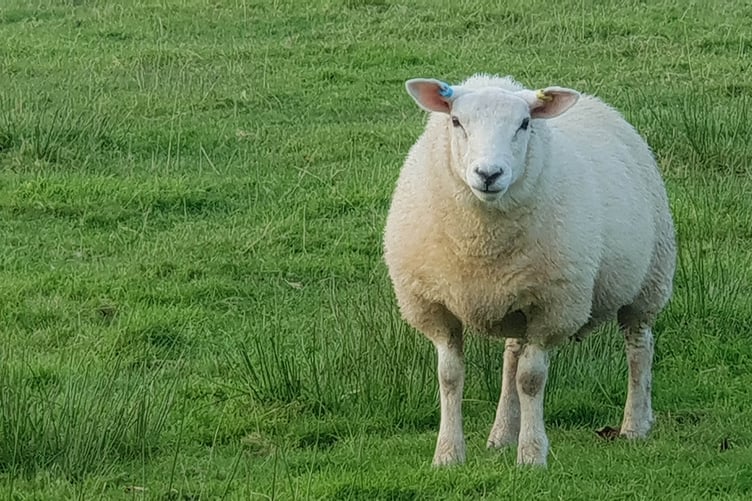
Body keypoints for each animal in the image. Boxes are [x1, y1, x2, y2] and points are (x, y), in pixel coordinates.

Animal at [383, 74, 676, 467]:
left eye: (524, 124)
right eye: (456, 121)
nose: (489, 174)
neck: (481, 243)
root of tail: (597, 103)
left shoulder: (552, 307)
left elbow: (532, 379)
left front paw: (532, 455)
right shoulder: (435, 307)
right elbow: (450, 377)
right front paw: (448, 454)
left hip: (648, 282)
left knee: (639, 347)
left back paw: (635, 424)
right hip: (518, 299)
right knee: (511, 356)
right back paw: (502, 433)